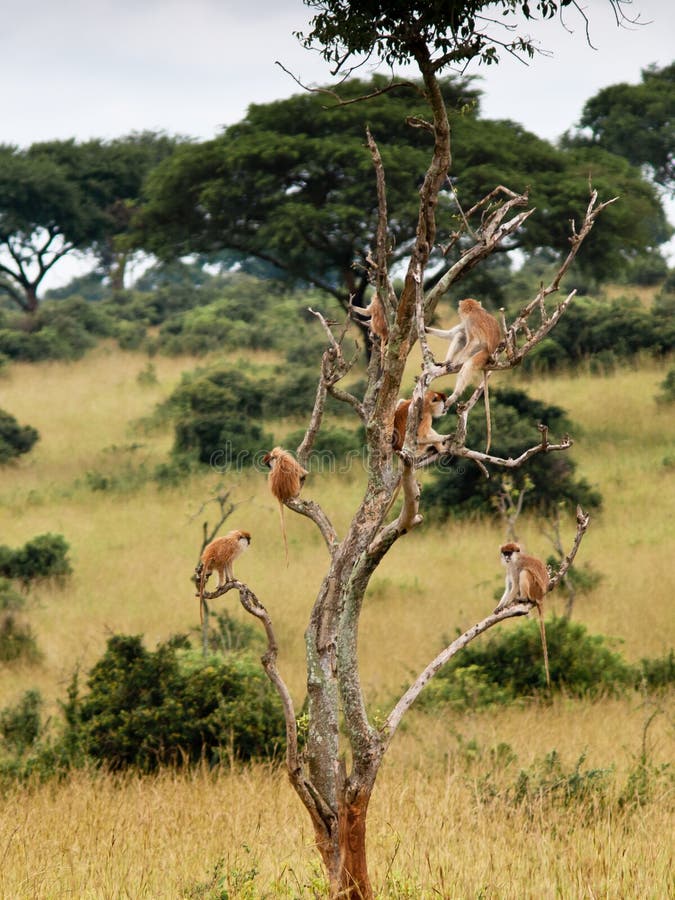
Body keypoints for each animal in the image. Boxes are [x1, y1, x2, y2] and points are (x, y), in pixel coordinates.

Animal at [426, 298, 501, 452]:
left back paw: (455, 392)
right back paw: (447, 362)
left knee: (467, 364)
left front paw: (456, 363)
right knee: (460, 336)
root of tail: (490, 358)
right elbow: (453, 334)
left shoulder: (471, 322)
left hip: (481, 355)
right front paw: (425, 328)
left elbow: (474, 340)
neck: (476, 310)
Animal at [496, 542, 551, 688]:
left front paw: (504, 605)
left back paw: (523, 598)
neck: (515, 559)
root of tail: (541, 596)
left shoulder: (515, 567)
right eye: (505, 553)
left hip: (534, 588)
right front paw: (498, 607)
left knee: (524, 573)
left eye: (509, 552)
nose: (506, 557)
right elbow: (509, 587)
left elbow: (514, 586)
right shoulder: (509, 569)